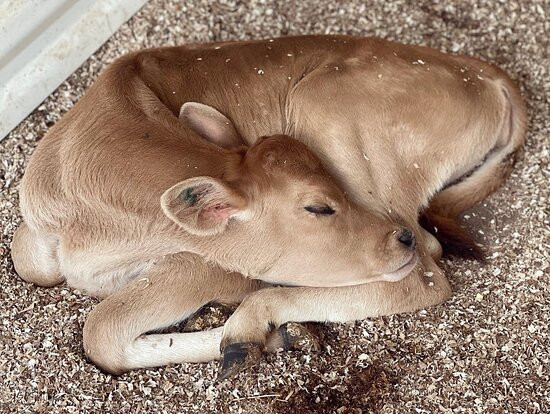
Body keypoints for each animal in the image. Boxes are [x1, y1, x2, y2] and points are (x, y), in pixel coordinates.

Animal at [11, 36, 528, 378]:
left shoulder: (205, 263)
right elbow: (26, 258)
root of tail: (479, 69)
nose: (396, 239)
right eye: (319, 207)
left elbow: (102, 330)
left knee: (424, 271)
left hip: (323, 106)